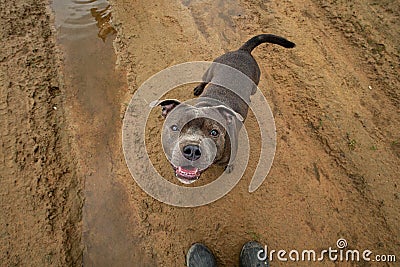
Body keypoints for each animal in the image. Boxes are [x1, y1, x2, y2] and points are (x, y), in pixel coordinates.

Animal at [152, 34, 296, 185]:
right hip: (210, 71)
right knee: (204, 81)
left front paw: (229, 167)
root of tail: (243, 51)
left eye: (214, 132)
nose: (192, 150)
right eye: (174, 127)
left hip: (253, 83)